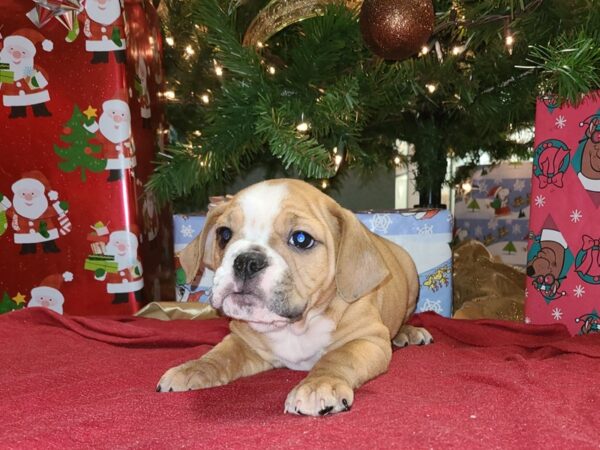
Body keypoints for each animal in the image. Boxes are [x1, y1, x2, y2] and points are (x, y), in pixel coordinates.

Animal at [158, 178, 432, 414]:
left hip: (410, 282)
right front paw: (193, 367)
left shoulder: (366, 339)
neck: (296, 325)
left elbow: (339, 357)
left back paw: (408, 332)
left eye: (301, 239)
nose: (247, 261)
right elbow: (221, 355)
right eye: (224, 234)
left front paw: (317, 385)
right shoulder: (244, 340)